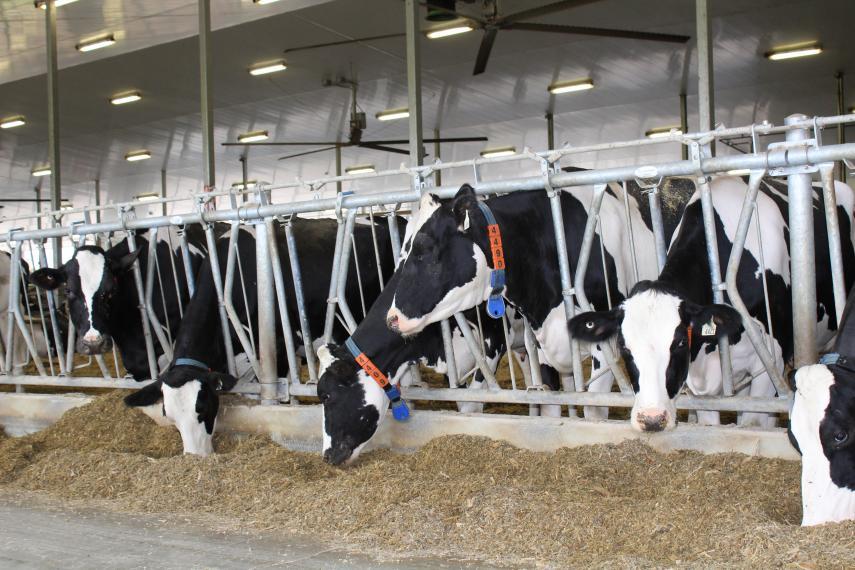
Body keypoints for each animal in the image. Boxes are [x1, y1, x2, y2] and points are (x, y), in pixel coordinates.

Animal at [572, 178, 855, 430]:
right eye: (625, 348)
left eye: (679, 343)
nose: (651, 419)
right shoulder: (701, 383)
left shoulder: (769, 360)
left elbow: (752, 422)